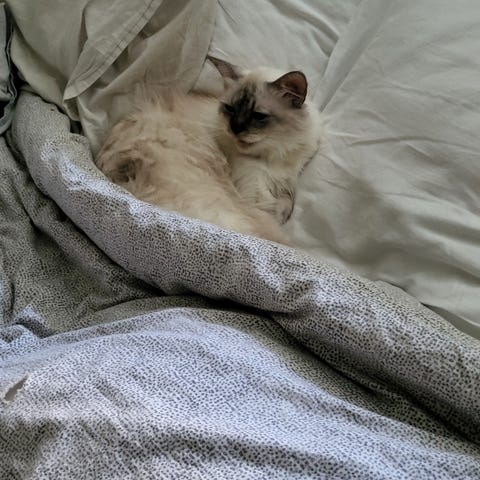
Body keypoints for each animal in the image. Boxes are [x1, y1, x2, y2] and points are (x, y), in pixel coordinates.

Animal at [95, 56, 322, 243]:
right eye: (230, 109)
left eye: (258, 116)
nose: (235, 128)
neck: (274, 154)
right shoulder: (254, 197)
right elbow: (275, 214)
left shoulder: (287, 180)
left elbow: (287, 202)